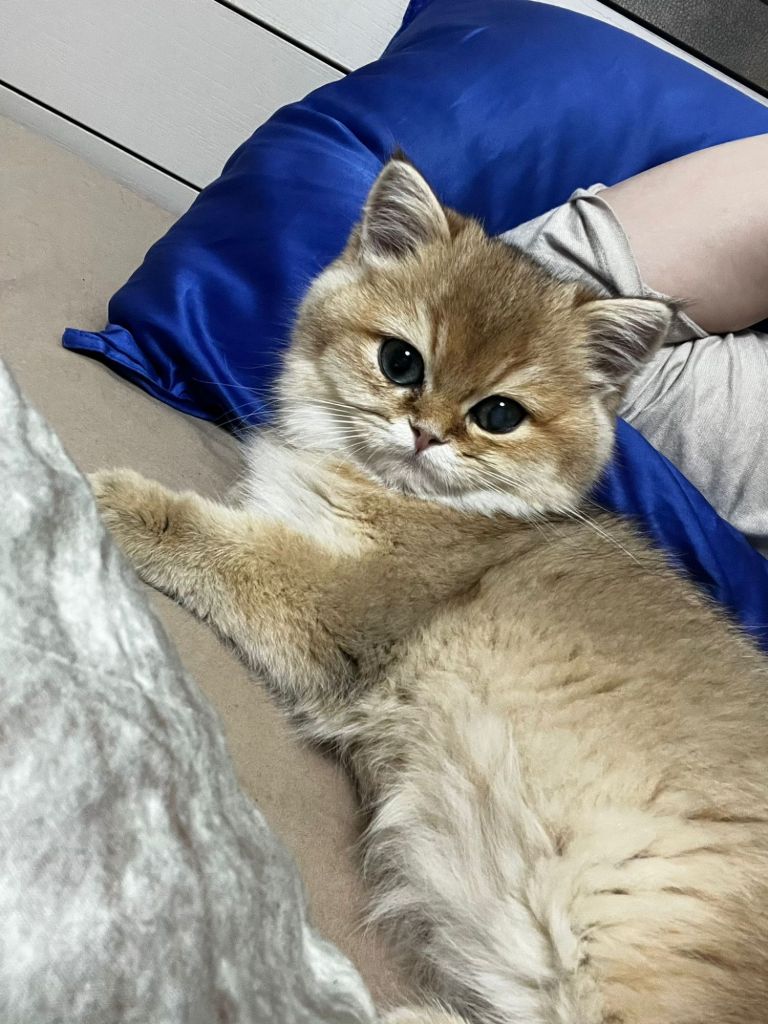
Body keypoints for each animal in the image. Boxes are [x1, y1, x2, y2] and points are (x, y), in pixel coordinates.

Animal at [92, 155, 768, 1024]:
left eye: (500, 414)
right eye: (401, 362)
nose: (427, 432)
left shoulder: (342, 604)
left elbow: (226, 544)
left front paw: (123, 501)